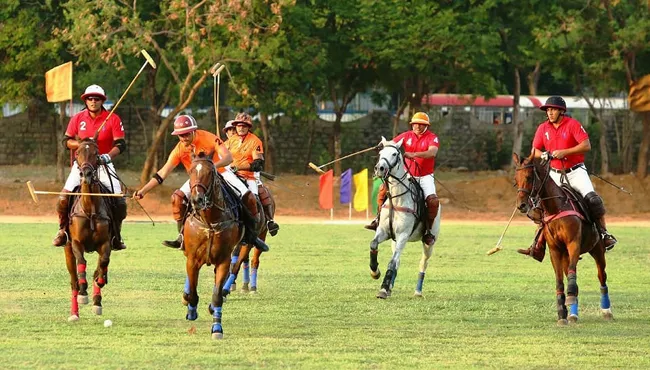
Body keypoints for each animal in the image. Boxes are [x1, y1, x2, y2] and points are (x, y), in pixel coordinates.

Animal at [64, 139, 112, 320]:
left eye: (96, 153)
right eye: (77, 153)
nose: (86, 174)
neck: (90, 209)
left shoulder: (106, 243)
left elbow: (103, 264)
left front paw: (99, 284)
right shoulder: (76, 243)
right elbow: (82, 262)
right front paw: (84, 292)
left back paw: (97, 300)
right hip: (67, 250)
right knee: (73, 282)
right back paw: (74, 312)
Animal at [181, 152, 244, 338]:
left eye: (210, 173)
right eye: (190, 171)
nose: (197, 199)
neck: (210, 222)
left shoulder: (223, 260)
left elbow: (216, 295)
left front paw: (217, 328)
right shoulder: (192, 260)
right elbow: (193, 291)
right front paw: (191, 310)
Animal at [368, 137, 438, 300]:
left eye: (394, 154)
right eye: (380, 152)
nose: (379, 168)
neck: (396, 199)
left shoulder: (403, 235)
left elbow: (392, 262)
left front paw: (383, 289)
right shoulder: (384, 232)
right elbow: (374, 245)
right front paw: (375, 272)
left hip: (429, 242)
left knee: (423, 262)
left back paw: (418, 291)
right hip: (394, 241)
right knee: (398, 260)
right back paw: (390, 287)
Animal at [508, 152, 612, 324]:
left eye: (529, 177)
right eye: (515, 180)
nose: (521, 205)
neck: (555, 207)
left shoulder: (573, 244)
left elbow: (572, 276)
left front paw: (568, 302)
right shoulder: (555, 250)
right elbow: (560, 280)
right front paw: (561, 313)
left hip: (597, 249)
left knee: (601, 276)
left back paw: (607, 310)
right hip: (565, 255)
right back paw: (573, 314)